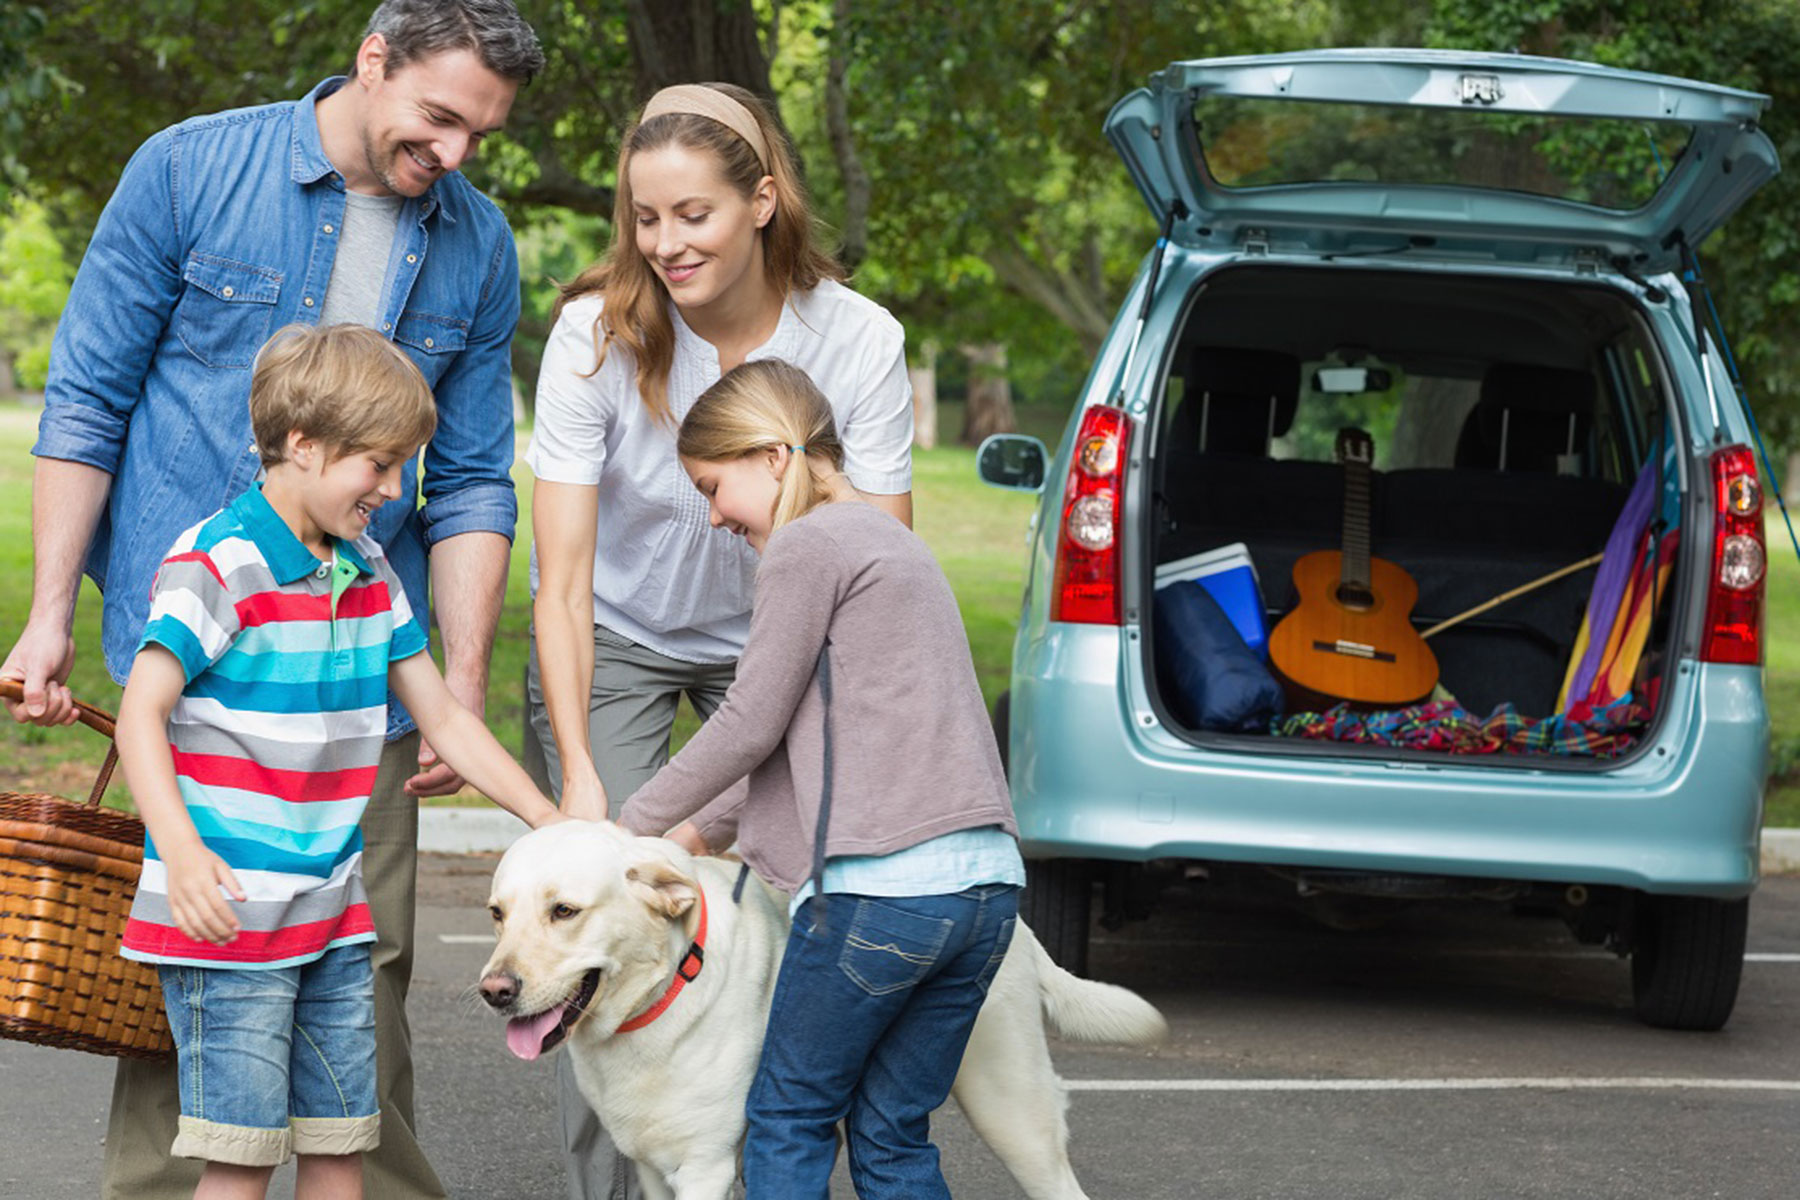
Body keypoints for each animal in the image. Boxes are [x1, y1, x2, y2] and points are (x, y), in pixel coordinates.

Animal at [478, 827, 1166, 1200]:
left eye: (564, 911)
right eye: (496, 913)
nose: (494, 990)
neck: (666, 987)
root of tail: (1015, 921)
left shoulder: (705, 1167)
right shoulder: (650, 1169)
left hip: (1012, 1110)